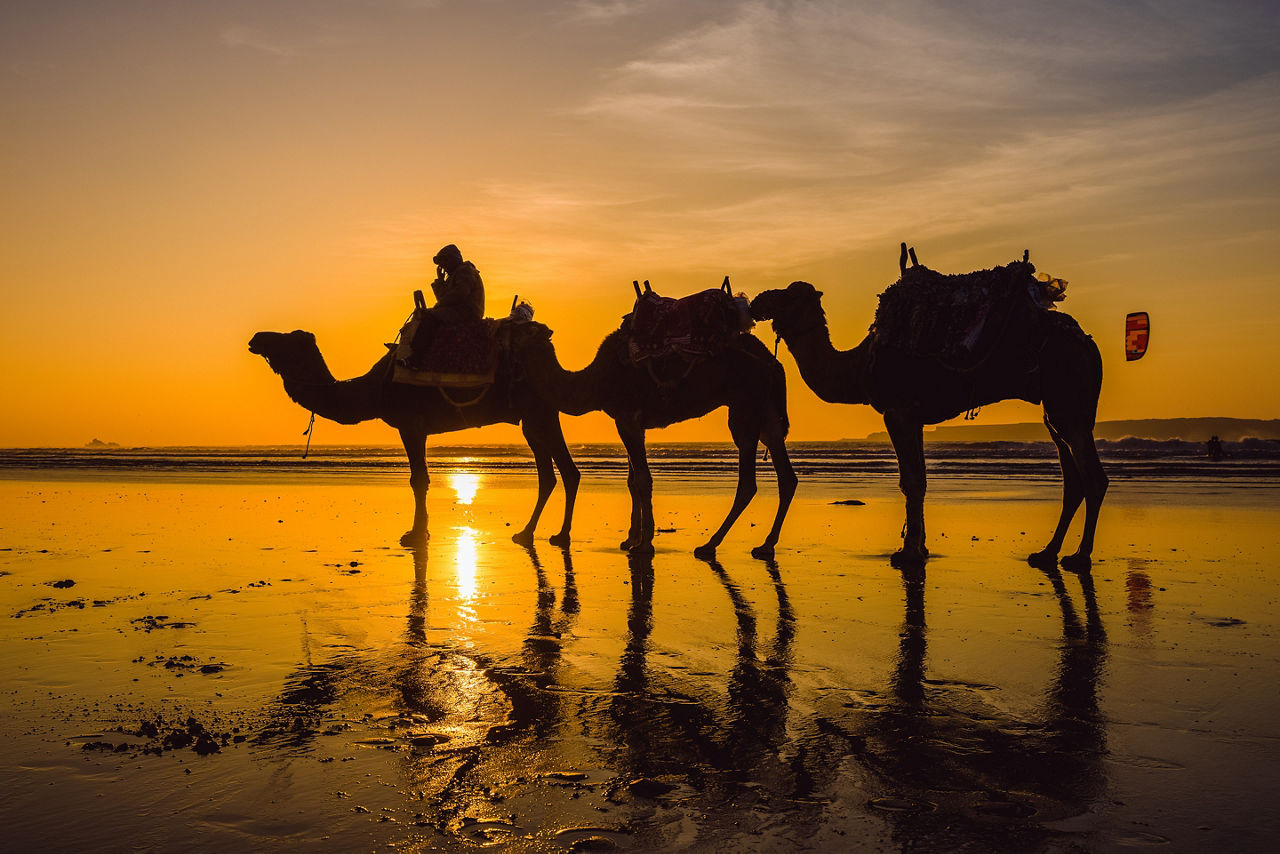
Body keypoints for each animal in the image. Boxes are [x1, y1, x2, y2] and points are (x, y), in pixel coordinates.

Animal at [247, 330, 578, 547]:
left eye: (287, 340)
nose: (256, 338)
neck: (374, 390)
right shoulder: (415, 428)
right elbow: (421, 479)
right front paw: (421, 532)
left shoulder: (410, 425)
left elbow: (418, 479)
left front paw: (415, 534)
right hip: (533, 417)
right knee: (550, 474)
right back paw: (526, 533)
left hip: (539, 410)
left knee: (566, 471)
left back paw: (560, 536)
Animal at [504, 317, 793, 558]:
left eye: (515, 328)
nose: (498, 327)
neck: (596, 381)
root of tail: (772, 362)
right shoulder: (633, 423)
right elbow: (633, 480)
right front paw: (631, 539)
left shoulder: (626, 418)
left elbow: (642, 479)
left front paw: (644, 544)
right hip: (768, 412)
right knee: (785, 472)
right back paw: (766, 545)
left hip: (746, 404)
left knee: (748, 480)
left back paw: (710, 545)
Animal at [752, 247, 1105, 571]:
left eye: (789, 295)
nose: (758, 300)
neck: (858, 365)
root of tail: (1088, 343)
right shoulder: (915, 418)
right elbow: (919, 479)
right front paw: (919, 549)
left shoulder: (898, 412)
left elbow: (911, 481)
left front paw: (907, 553)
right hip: (1056, 409)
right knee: (1072, 479)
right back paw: (1046, 553)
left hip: (1069, 401)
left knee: (1093, 476)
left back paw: (1079, 556)